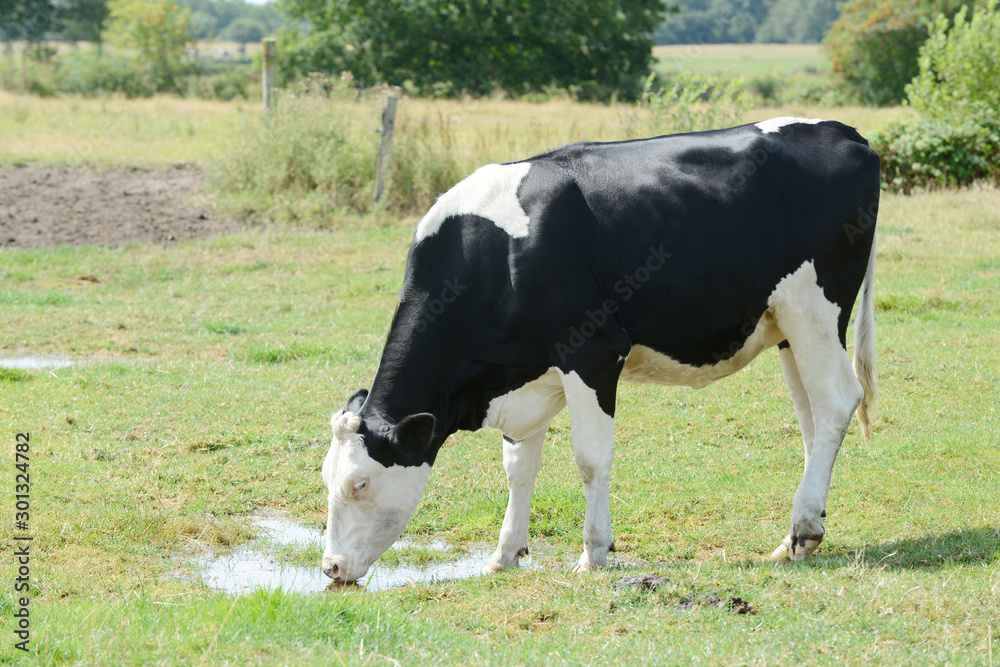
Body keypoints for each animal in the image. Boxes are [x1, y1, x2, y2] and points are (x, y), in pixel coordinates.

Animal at [321, 117, 880, 584]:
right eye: (326, 478)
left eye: (359, 485)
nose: (330, 567)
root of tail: (845, 132)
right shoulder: (524, 373)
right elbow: (518, 467)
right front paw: (505, 554)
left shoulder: (592, 351)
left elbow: (590, 460)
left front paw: (593, 553)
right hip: (786, 324)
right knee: (812, 418)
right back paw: (794, 537)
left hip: (815, 309)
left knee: (837, 401)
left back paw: (804, 528)